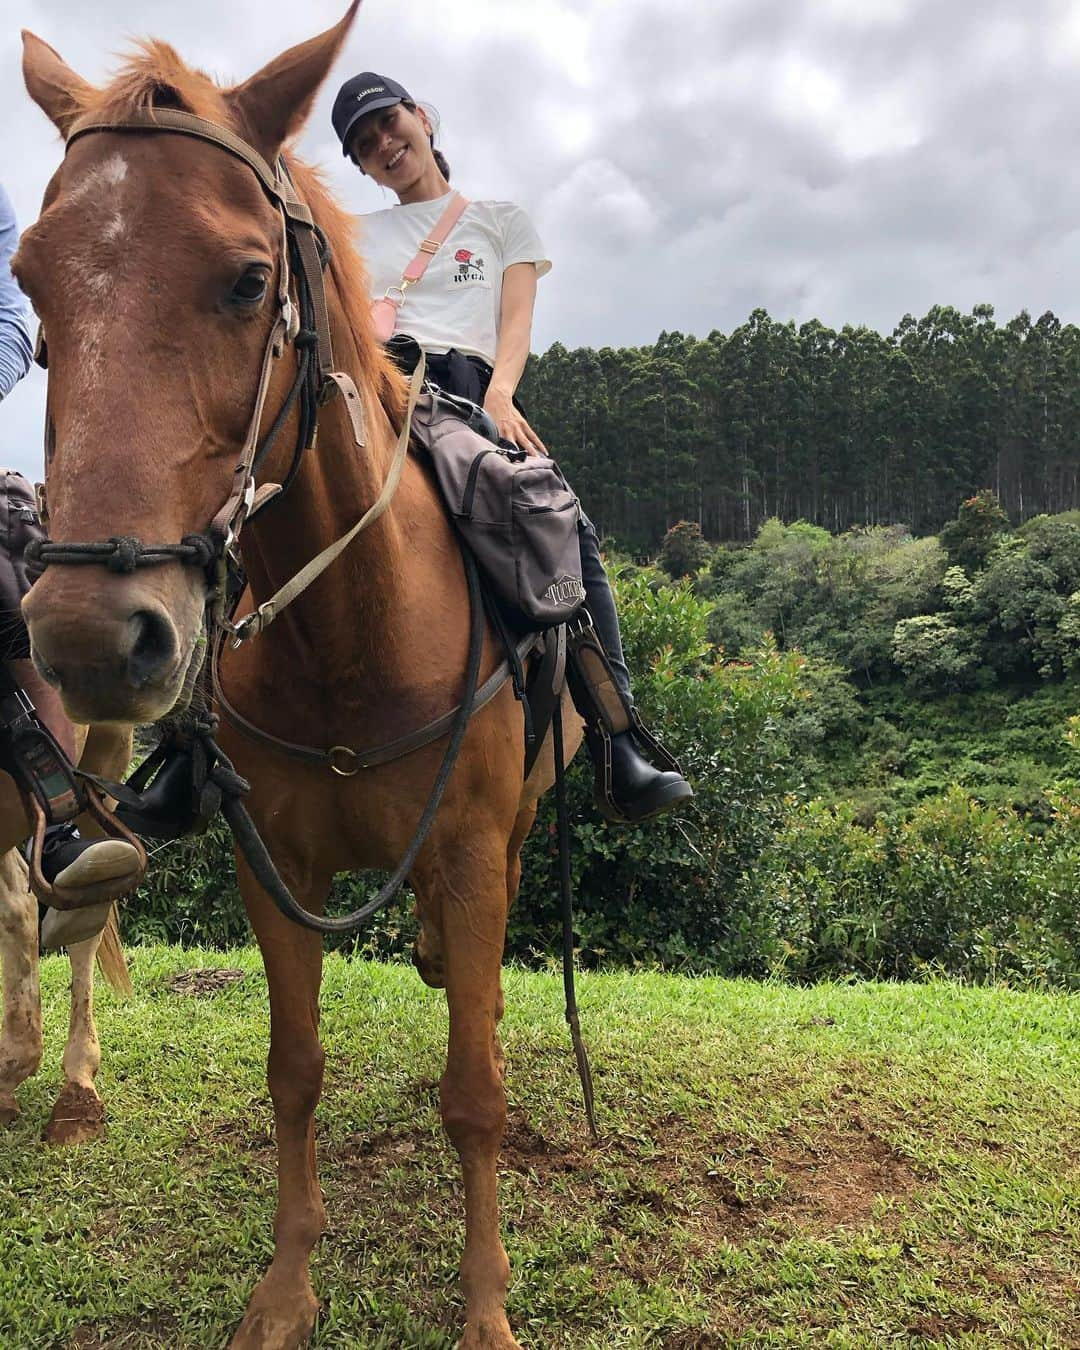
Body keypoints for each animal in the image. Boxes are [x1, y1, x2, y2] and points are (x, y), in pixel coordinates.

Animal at [14, 5, 583, 1344]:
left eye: (245, 279)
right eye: (31, 284)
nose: (87, 639)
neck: (351, 641)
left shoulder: (471, 851)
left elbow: (474, 1088)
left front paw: (486, 1307)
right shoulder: (271, 864)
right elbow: (294, 1069)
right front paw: (285, 1289)